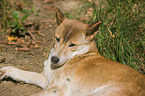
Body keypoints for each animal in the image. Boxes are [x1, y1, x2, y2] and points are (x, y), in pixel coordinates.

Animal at [0, 7, 145, 95]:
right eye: (57, 39)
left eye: (72, 45)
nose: (54, 59)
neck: (77, 57)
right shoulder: (46, 81)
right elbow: (23, 73)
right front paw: (5, 71)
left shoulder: (57, 89)